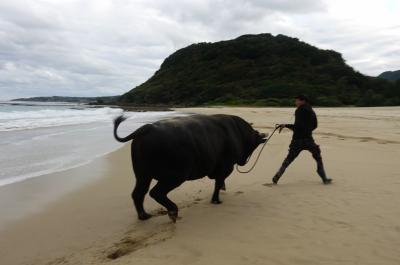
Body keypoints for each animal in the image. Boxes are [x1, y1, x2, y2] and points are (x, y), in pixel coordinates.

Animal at [114, 113, 268, 221]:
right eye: (254, 145)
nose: (243, 162)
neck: (238, 132)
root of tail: (146, 128)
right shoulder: (226, 167)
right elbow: (218, 183)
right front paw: (216, 200)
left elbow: (219, 182)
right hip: (175, 176)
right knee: (156, 193)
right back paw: (173, 211)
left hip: (142, 175)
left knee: (138, 193)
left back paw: (144, 216)